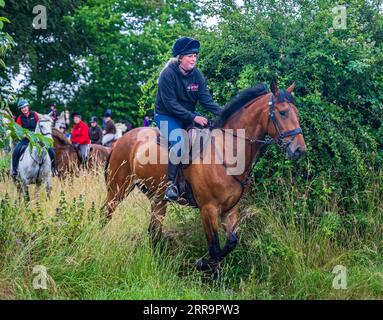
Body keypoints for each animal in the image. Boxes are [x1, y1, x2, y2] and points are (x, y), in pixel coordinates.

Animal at [104, 81, 306, 272]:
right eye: (283, 112)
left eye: (296, 112)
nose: (299, 150)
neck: (227, 151)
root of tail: (121, 140)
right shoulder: (208, 209)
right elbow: (215, 249)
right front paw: (210, 271)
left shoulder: (230, 209)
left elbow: (231, 243)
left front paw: (202, 263)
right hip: (118, 189)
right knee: (105, 215)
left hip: (157, 199)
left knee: (153, 232)